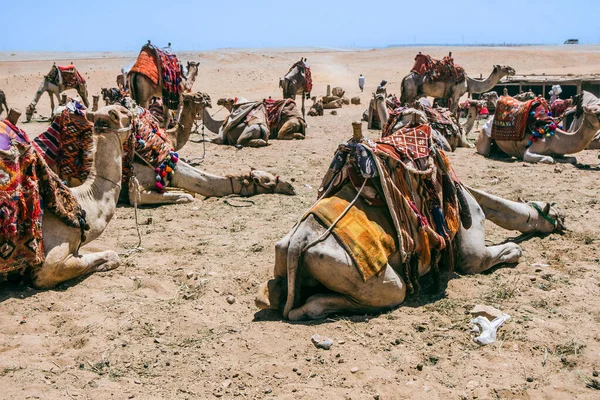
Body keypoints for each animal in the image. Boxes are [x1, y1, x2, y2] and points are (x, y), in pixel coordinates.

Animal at [255, 123, 564, 320]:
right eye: (553, 212)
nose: (561, 222)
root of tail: (299, 241)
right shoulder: (468, 233)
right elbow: (478, 258)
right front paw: (515, 249)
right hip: (379, 281)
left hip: (283, 254)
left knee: (275, 293)